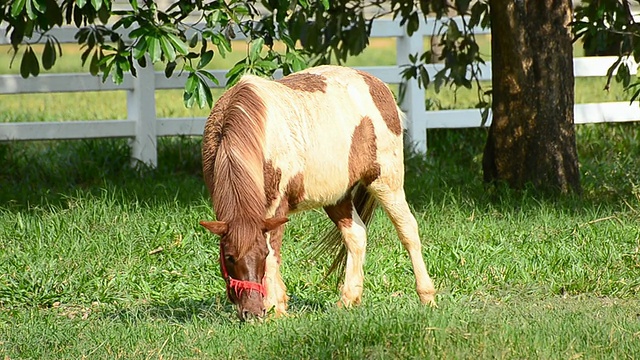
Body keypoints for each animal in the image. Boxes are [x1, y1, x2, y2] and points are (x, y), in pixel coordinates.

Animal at [202, 65, 438, 320]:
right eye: (228, 257)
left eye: (261, 255)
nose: (253, 313)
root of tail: (378, 84)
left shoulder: (275, 208)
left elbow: (274, 255)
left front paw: (276, 309)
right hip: (337, 197)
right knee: (356, 235)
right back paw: (348, 300)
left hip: (386, 182)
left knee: (408, 231)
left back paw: (427, 297)